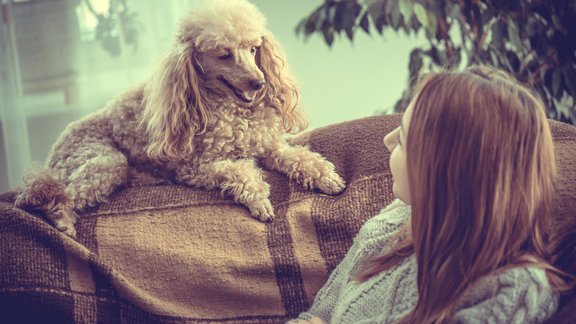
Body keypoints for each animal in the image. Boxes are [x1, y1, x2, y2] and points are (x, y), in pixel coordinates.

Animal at [14, 0, 346, 238]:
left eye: (254, 49)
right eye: (224, 55)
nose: (259, 83)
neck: (231, 109)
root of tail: (54, 151)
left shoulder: (268, 146)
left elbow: (298, 157)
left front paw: (326, 177)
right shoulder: (198, 167)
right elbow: (240, 172)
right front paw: (260, 201)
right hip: (105, 162)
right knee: (58, 195)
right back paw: (62, 221)